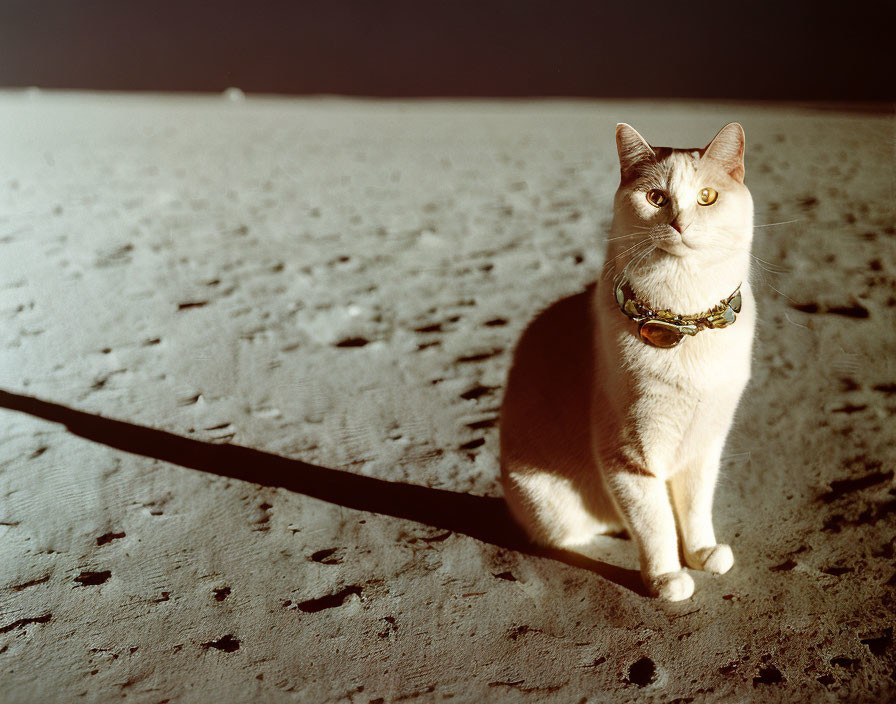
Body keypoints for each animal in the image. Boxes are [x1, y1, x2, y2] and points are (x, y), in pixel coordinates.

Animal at [500, 121, 752, 600]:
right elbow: (654, 525)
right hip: (551, 507)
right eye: (655, 198)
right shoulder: (627, 457)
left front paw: (702, 553)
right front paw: (667, 578)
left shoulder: (704, 446)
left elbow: (696, 508)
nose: (679, 223)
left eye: (707, 196)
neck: (685, 320)